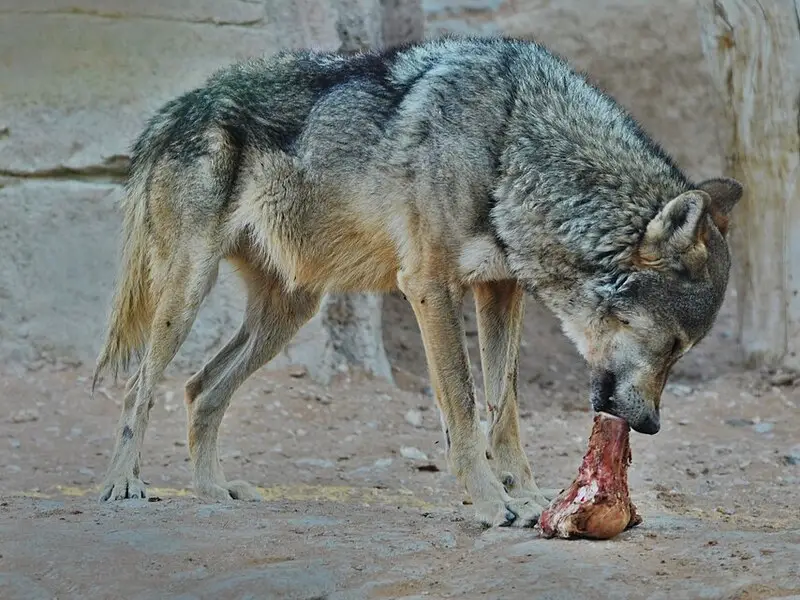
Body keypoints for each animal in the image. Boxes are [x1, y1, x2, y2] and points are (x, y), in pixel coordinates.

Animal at [90, 35, 740, 528]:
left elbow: (503, 406)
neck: (512, 143)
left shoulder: (500, 291)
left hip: (290, 313)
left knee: (199, 389)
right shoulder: (429, 285)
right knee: (137, 387)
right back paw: (124, 485)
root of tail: (175, 107)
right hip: (187, 293)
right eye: (674, 346)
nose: (650, 425)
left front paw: (528, 497)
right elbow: (463, 405)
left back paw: (213, 491)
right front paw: (491, 503)